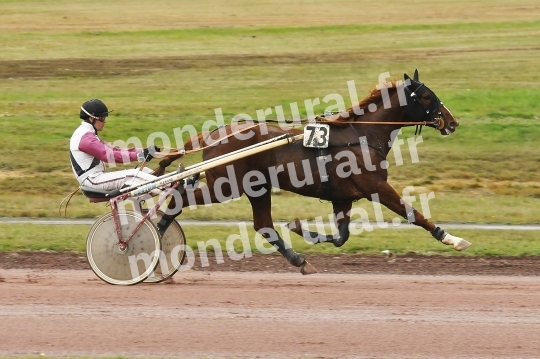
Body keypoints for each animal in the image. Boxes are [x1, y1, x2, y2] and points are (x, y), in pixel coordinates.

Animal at [155, 70, 468, 276]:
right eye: (426, 96)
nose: (452, 122)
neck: (362, 135)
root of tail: (215, 134)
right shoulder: (377, 188)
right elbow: (414, 214)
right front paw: (451, 239)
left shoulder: (343, 197)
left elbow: (341, 237)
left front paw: (300, 228)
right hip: (226, 186)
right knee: (180, 199)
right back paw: (155, 236)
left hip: (257, 187)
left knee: (264, 225)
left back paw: (299, 261)